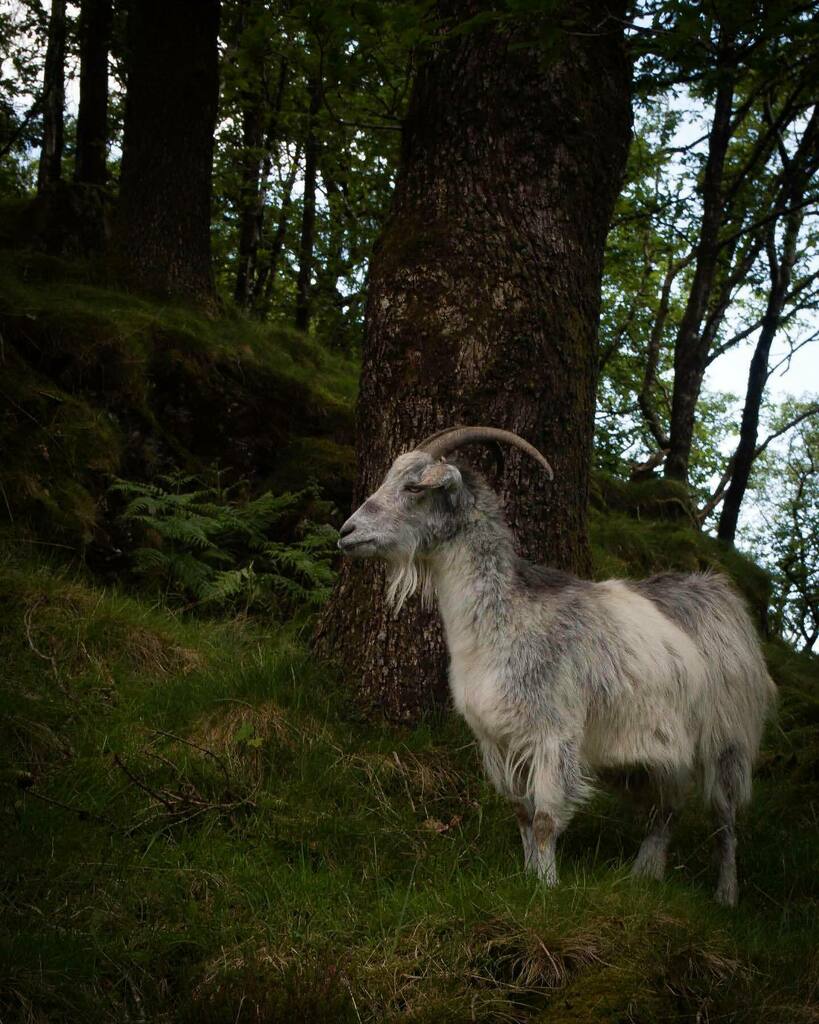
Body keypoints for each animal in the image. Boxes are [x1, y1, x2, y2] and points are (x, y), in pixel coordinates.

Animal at [338, 426, 776, 906]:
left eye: (415, 487)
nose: (346, 532)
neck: (506, 621)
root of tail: (723, 595)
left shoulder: (554, 734)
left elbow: (546, 819)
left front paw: (546, 890)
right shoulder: (498, 742)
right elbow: (523, 815)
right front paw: (527, 879)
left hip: (727, 739)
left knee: (725, 818)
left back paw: (726, 895)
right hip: (659, 751)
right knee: (669, 807)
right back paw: (644, 876)